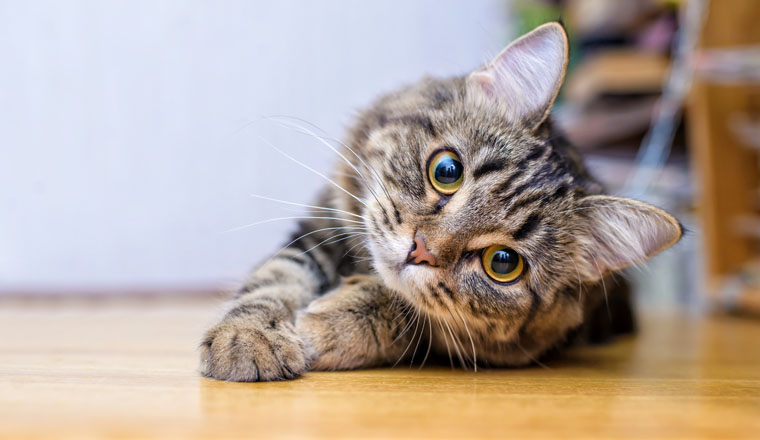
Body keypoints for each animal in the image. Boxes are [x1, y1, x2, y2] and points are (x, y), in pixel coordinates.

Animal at [199, 22, 680, 382]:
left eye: (503, 263)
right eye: (447, 170)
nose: (420, 249)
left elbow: (404, 311)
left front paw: (326, 323)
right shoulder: (320, 230)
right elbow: (274, 281)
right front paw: (248, 338)